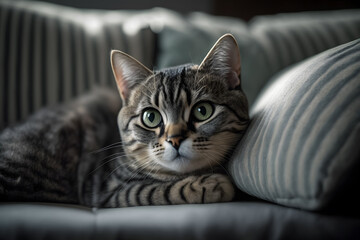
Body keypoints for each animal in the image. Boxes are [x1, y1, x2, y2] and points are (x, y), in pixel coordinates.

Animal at [0, 32, 248, 207]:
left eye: (202, 111)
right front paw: (209, 184)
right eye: (151, 117)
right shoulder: (107, 191)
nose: (175, 139)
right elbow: (152, 189)